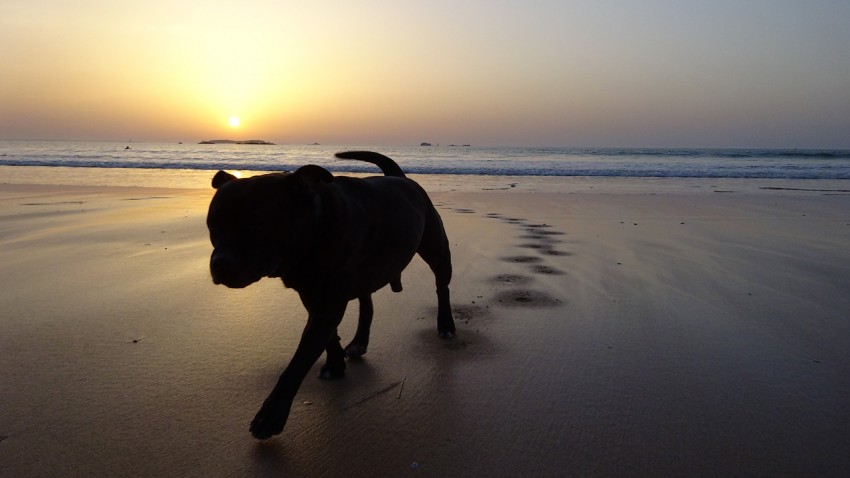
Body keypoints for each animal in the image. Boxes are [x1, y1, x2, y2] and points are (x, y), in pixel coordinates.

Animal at [206, 151, 454, 438]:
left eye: (258, 225)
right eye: (213, 227)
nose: (220, 264)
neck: (315, 229)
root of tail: (399, 177)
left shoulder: (327, 302)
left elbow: (298, 362)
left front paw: (270, 416)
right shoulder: (313, 296)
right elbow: (328, 336)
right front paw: (335, 364)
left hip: (437, 250)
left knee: (442, 287)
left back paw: (446, 324)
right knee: (367, 302)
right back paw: (359, 341)